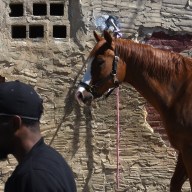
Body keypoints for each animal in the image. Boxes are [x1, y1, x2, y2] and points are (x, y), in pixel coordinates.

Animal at [75, 30, 192, 191]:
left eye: (100, 62)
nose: (80, 94)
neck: (181, 92)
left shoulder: (188, 150)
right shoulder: (183, 149)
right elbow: (175, 183)